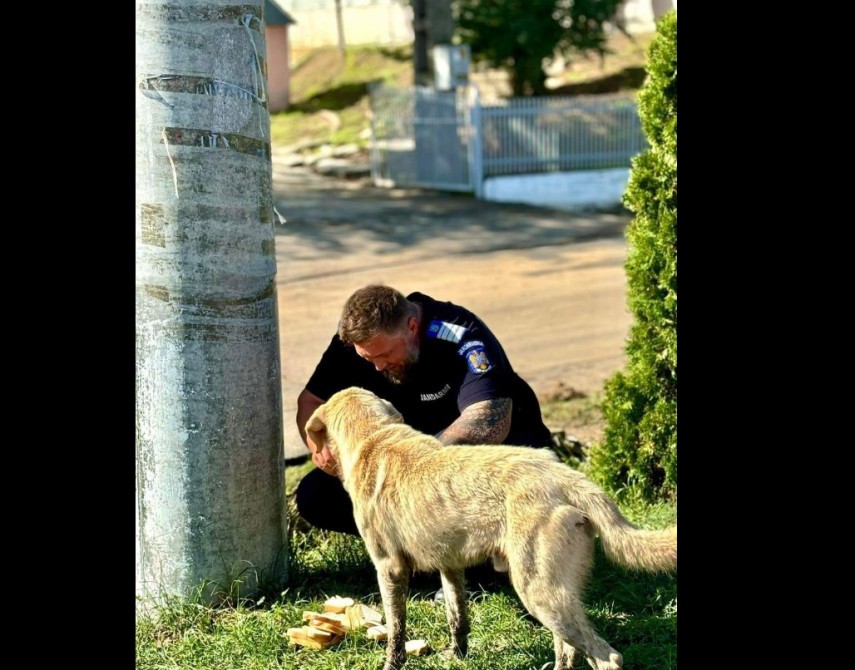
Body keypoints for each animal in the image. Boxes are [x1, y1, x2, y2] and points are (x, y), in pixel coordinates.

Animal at [304, 388, 680, 670]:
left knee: (606, 657)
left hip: (537, 592)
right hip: (557, 593)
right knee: (569, 650)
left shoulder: (390, 568)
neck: (373, 437)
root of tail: (565, 476)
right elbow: (457, 617)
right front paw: (457, 656)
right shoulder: (450, 566)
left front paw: (391, 665)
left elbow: (396, 631)